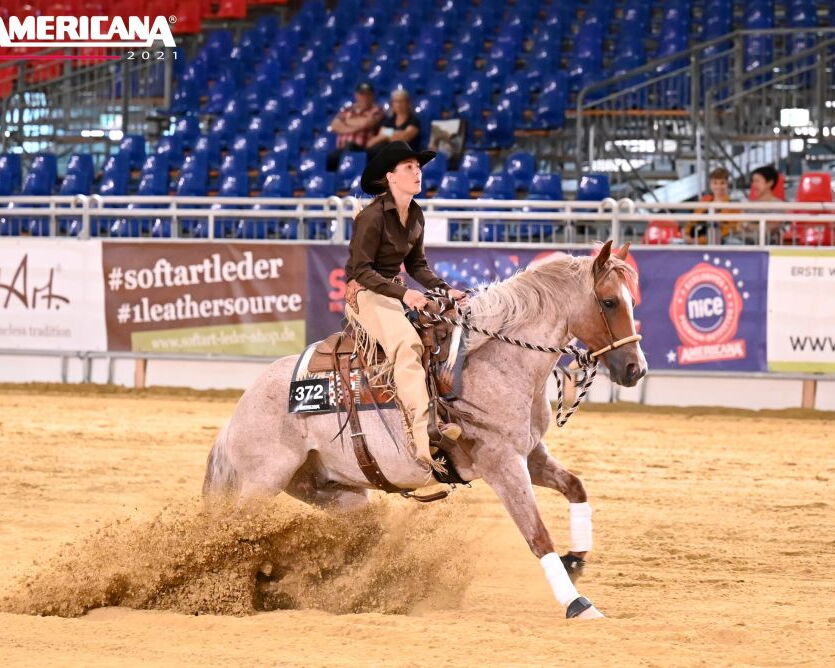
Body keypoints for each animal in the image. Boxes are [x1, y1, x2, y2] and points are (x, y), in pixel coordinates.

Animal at [202, 240, 648, 620]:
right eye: (609, 301)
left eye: (631, 300)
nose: (636, 369)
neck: (494, 361)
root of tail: (238, 414)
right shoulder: (502, 464)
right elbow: (537, 534)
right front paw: (578, 604)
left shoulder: (531, 454)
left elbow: (576, 487)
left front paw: (576, 561)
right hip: (262, 482)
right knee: (230, 533)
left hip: (335, 491)